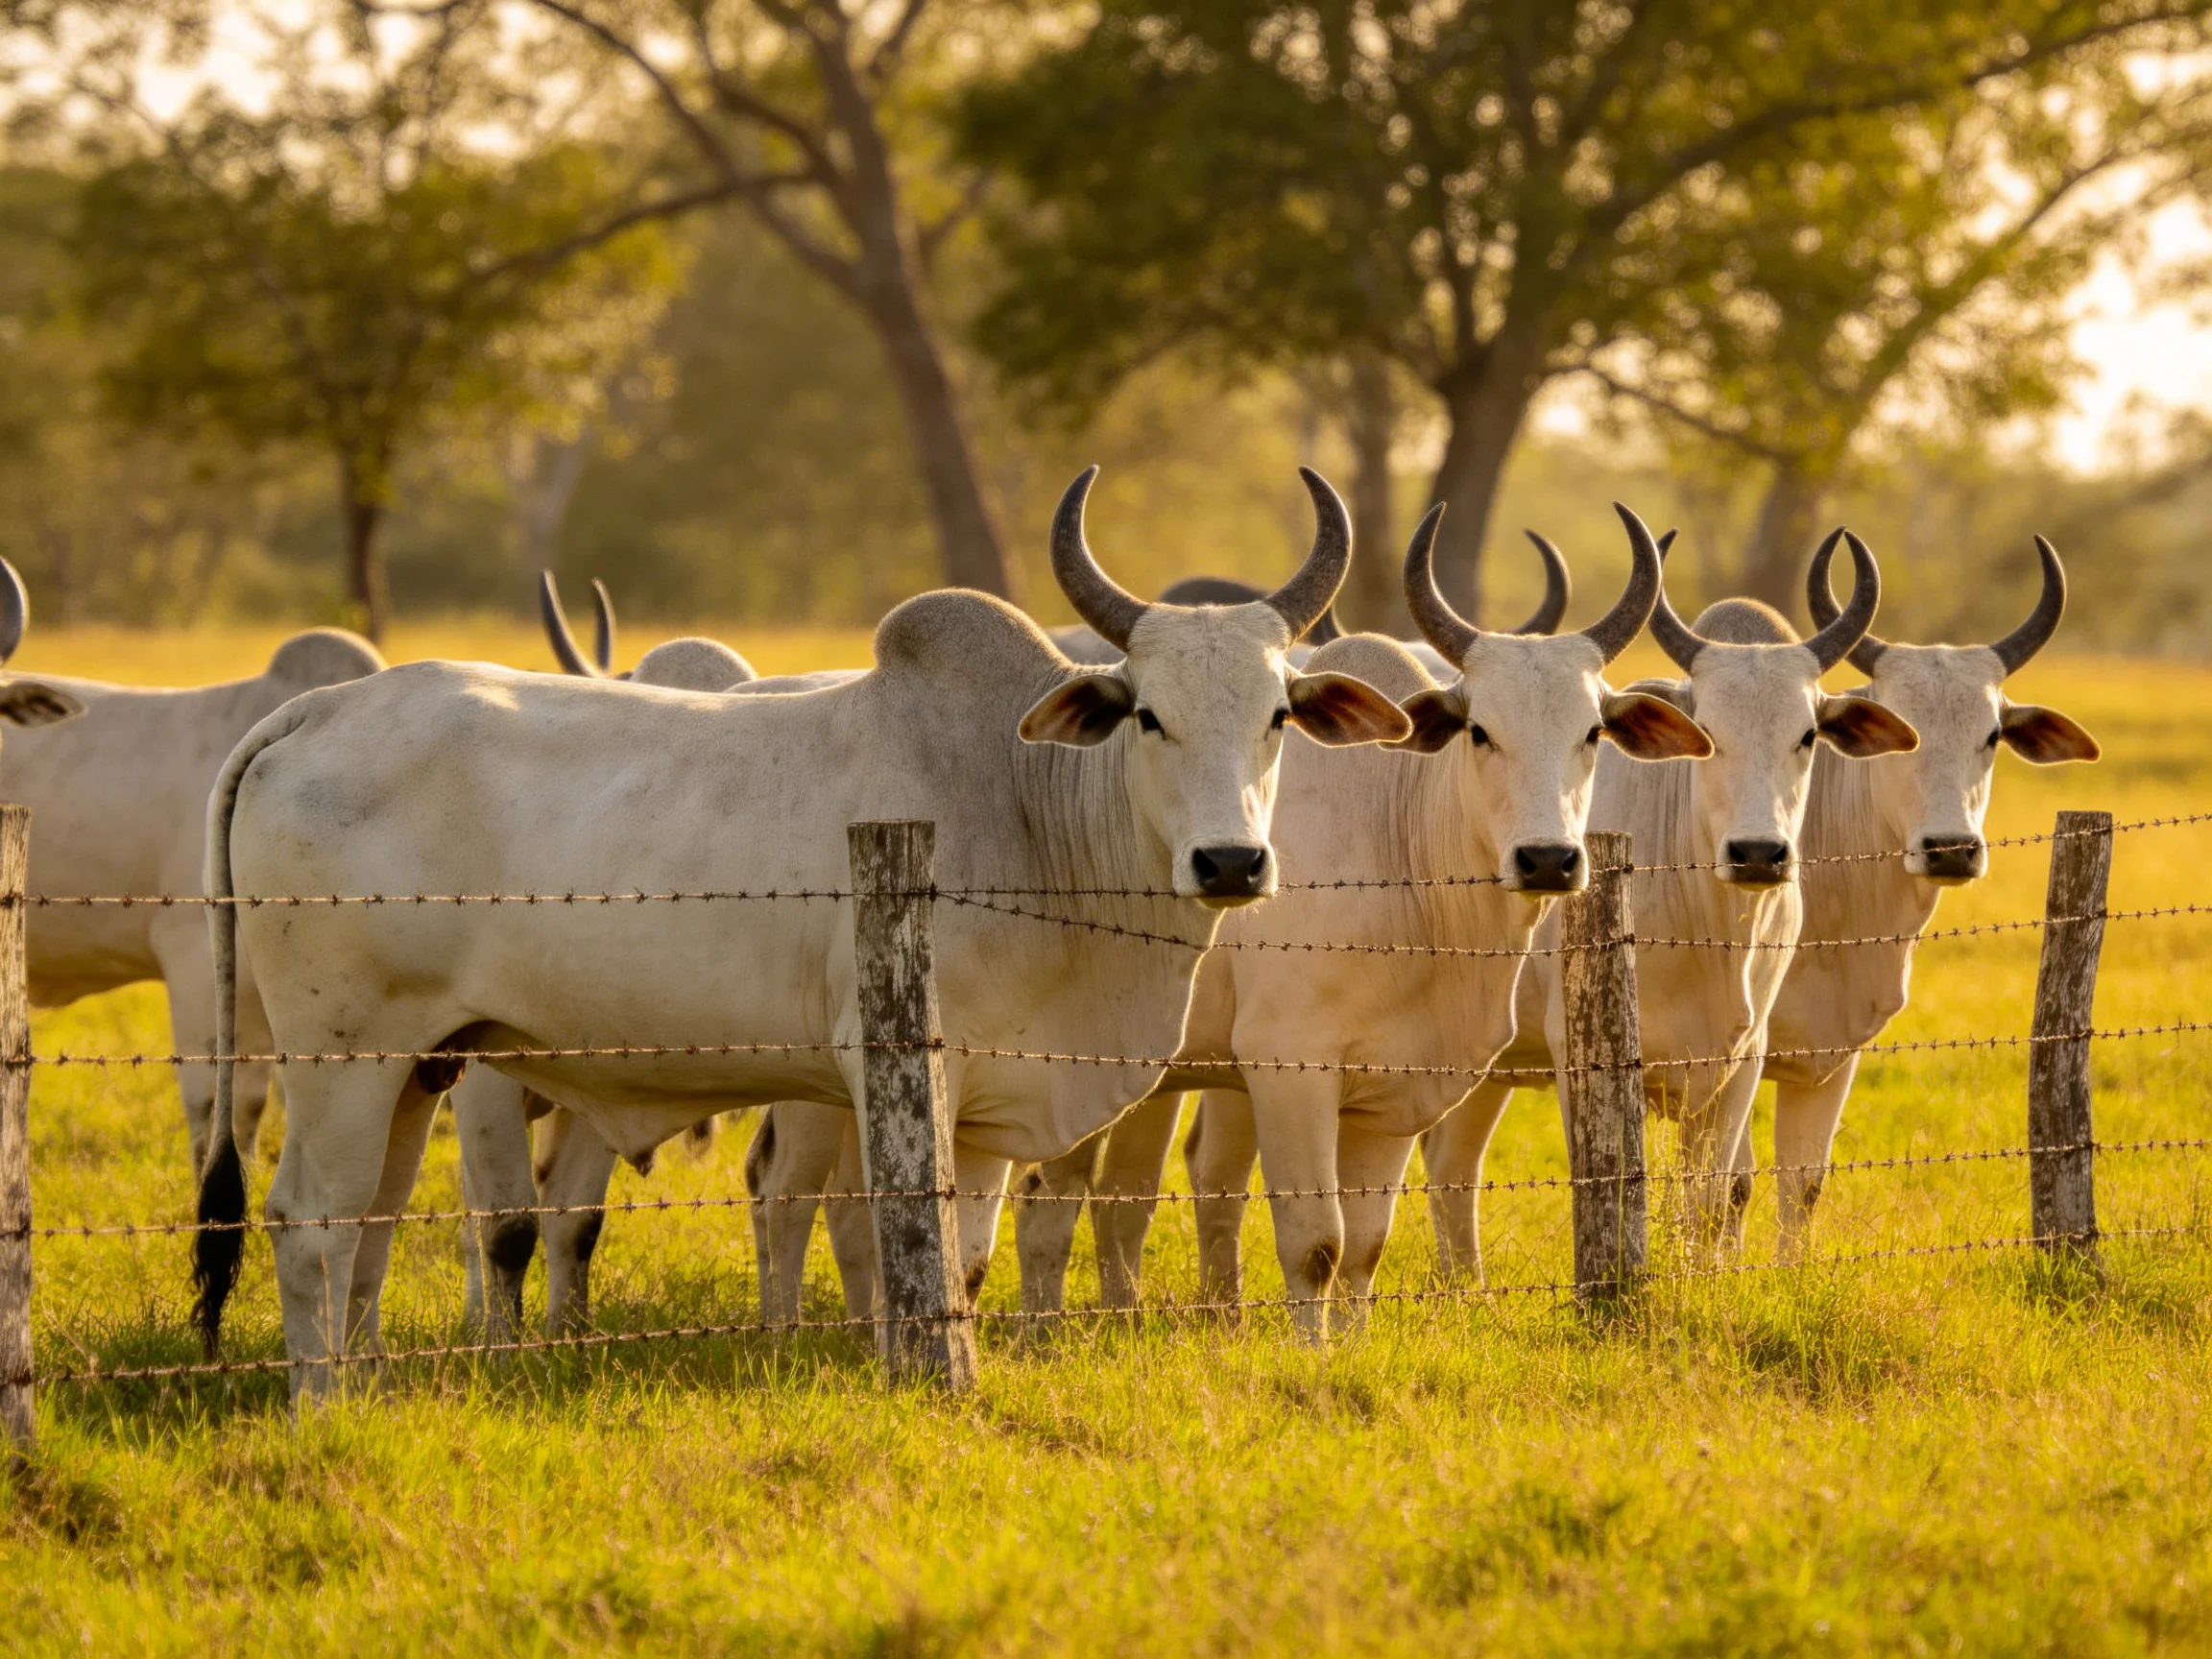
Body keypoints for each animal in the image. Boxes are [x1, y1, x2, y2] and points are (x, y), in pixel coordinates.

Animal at [192, 467, 1413, 1398]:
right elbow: (891, 1239)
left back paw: (366, 1388)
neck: (1025, 804)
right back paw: (320, 1409)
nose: (1231, 863)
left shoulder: (986, 1115)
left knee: (369, 1229)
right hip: (341, 1057)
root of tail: (320, 712)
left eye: (1277, 716)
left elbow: (966, 1265)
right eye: (1149, 715)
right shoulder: (900, 1072)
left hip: (417, 1068)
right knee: (309, 1222)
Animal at [1418, 533, 1921, 1276]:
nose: (1758, 853)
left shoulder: (1740, 1061)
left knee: (1453, 1167)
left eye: (1806, 736)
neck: (1711, 931)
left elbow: (1715, 1198)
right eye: (1704, 731)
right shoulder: (1586, 1057)